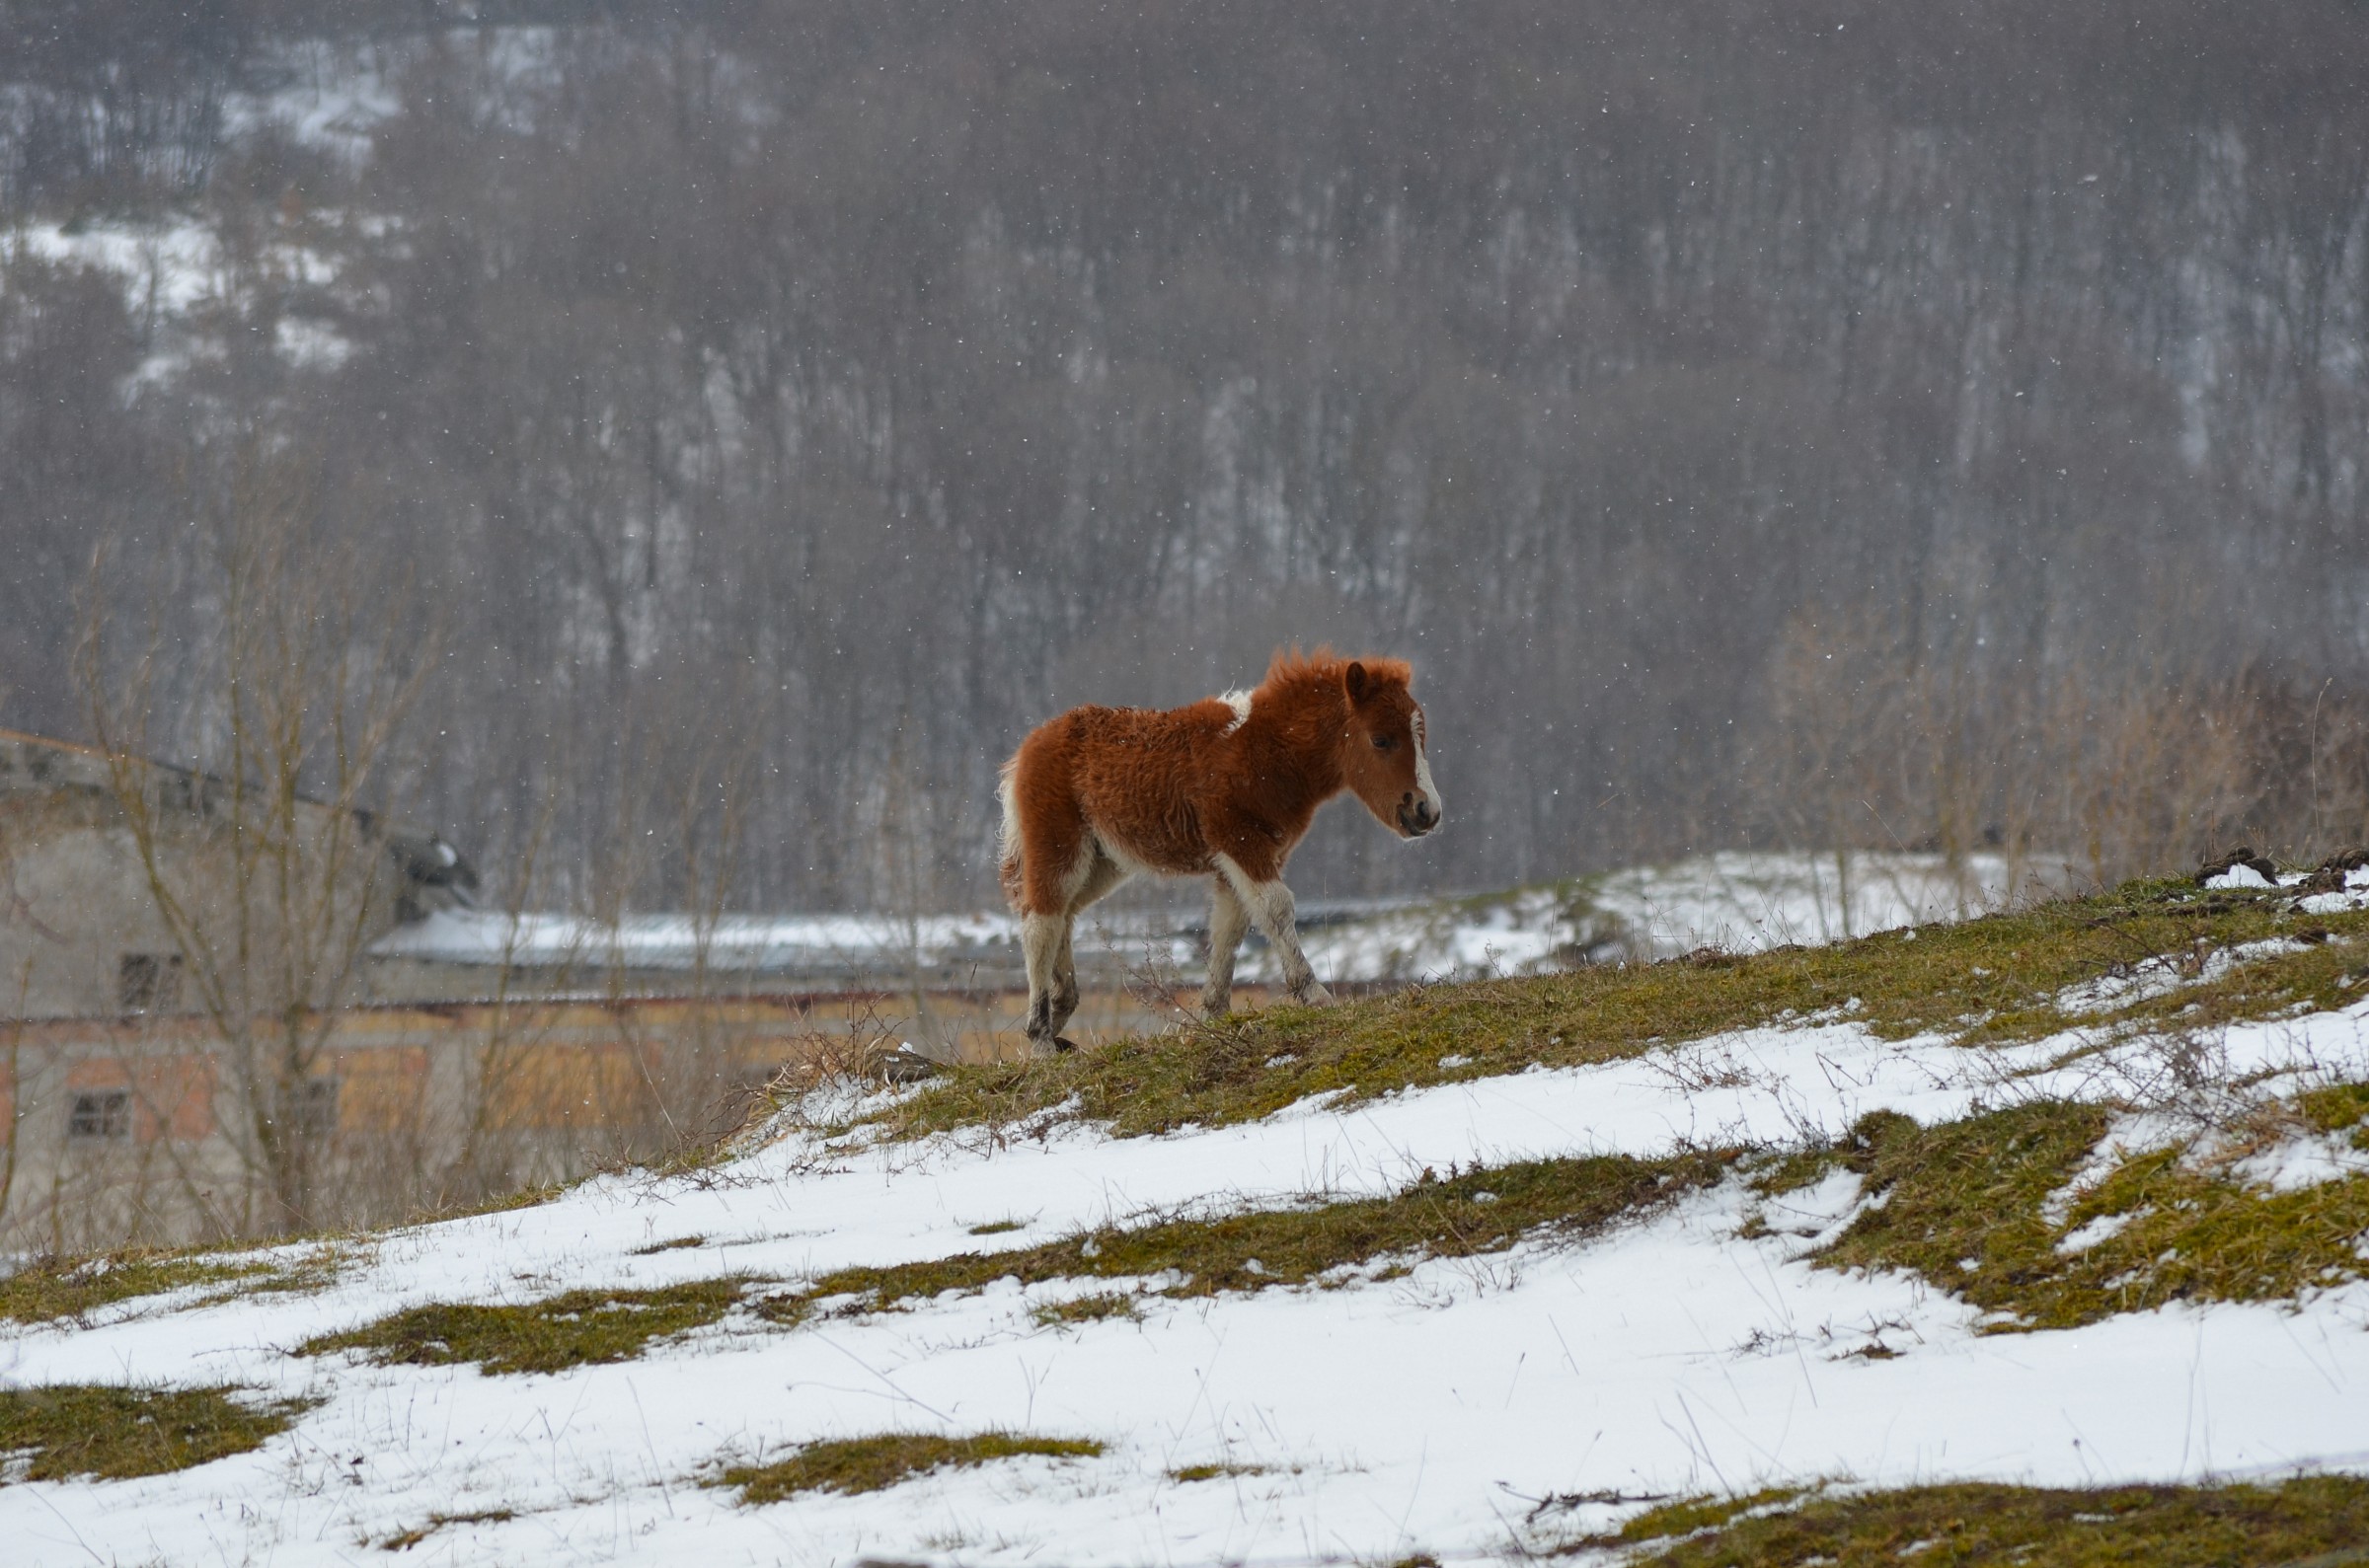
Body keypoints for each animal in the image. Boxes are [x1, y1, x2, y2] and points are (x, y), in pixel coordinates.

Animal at [997, 649, 1442, 1054]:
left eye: (1421, 738)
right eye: (1381, 740)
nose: (1427, 811)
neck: (1265, 750)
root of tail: (1027, 748)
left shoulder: (1247, 857)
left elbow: (1231, 925)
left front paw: (1214, 1015)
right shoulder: (1241, 843)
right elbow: (1276, 909)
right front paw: (1315, 996)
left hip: (1103, 862)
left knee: (1062, 914)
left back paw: (1061, 1012)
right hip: (1058, 847)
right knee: (1041, 921)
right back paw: (1041, 1038)